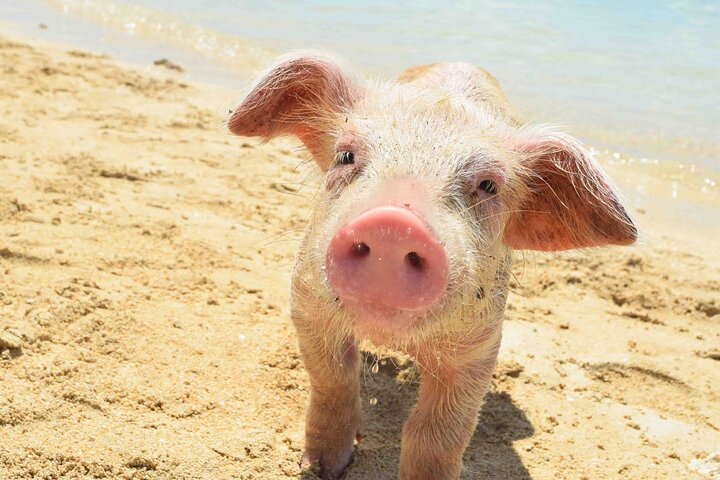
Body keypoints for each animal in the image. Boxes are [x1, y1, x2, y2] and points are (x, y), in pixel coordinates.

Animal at [228, 52, 637, 480]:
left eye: (488, 185)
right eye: (345, 155)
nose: (393, 223)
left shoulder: (479, 345)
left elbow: (439, 433)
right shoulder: (307, 301)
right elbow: (332, 382)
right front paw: (321, 468)